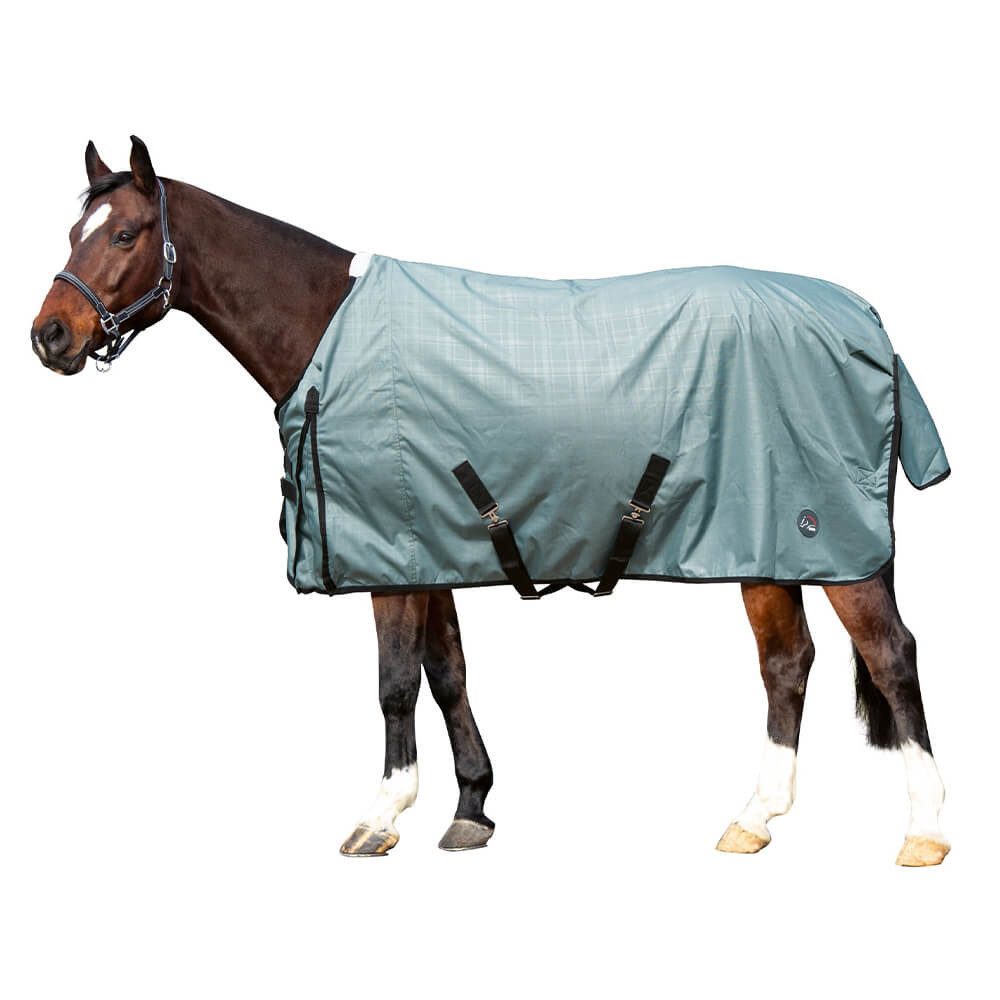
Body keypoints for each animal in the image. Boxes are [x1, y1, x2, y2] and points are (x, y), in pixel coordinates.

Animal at [30, 136, 950, 866]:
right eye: (75, 231)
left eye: (125, 232)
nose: (50, 335)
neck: (327, 333)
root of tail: (868, 323)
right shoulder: (429, 544)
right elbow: (447, 674)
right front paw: (471, 807)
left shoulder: (389, 559)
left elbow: (394, 683)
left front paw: (381, 816)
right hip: (764, 542)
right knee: (786, 663)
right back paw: (755, 819)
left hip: (833, 545)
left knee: (891, 656)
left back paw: (926, 832)